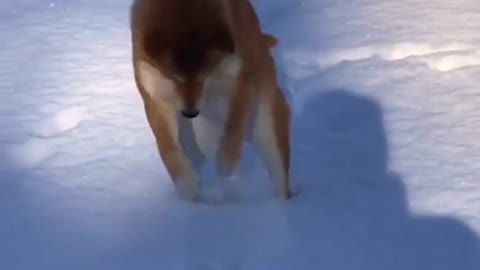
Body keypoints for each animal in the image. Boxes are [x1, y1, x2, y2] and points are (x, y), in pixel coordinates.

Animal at [129, 0, 290, 200]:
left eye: (203, 77)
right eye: (174, 77)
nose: (190, 112)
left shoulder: (242, 81)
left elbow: (234, 124)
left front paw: (226, 163)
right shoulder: (154, 98)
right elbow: (168, 147)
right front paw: (186, 184)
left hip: (265, 127)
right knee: (195, 153)